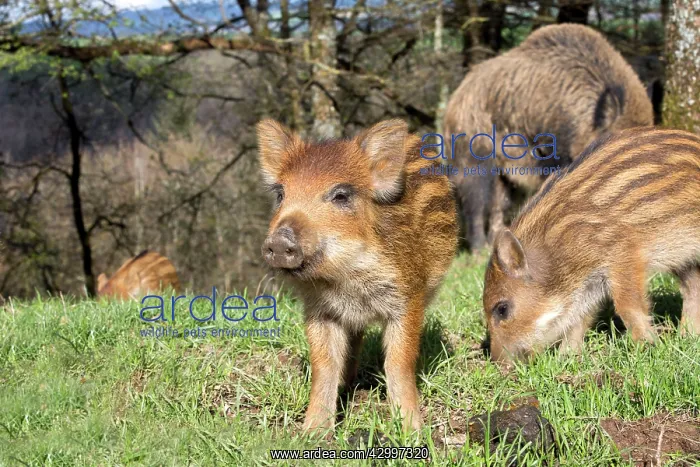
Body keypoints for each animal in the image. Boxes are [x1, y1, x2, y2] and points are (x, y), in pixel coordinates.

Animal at [256, 119, 458, 432]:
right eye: (281, 194)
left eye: (341, 195)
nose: (279, 240)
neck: (346, 280)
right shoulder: (318, 310)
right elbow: (324, 366)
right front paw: (312, 434)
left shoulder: (407, 298)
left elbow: (398, 363)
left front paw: (411, 431)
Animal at [443, 23, 654, 251]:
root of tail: (455, 99)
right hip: (473, 155)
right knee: (474, 200)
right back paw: (479, 250)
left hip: (504, 172)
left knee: (499, 203)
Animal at [483, 127, 700, 362]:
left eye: (502, 309)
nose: (498, 364)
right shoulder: (590, 284)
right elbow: (580, 318)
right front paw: (566, 358)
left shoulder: (623, 254)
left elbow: (627, 306)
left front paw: (647, 347)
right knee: (693, 287)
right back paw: (687, 336)